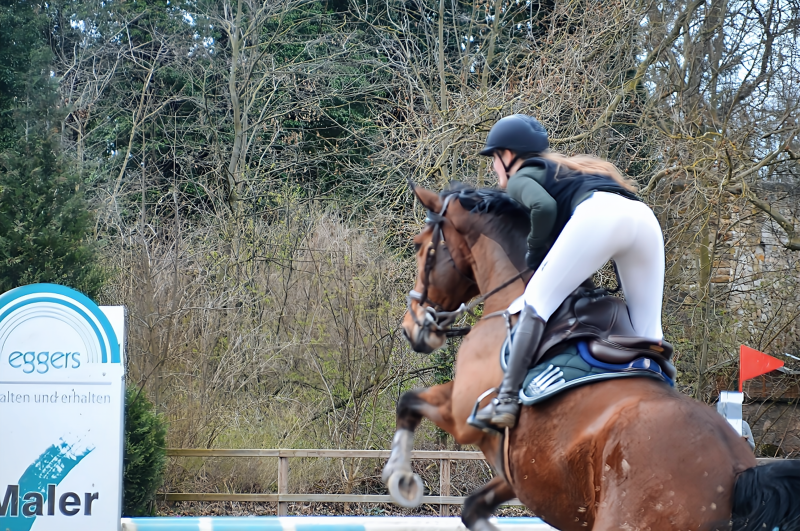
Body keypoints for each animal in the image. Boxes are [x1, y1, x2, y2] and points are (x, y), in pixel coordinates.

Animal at [382, 185, 800, 531]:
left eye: (421, 246)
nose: (410, 327)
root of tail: (736, 472)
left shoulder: (462, 414)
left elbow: (409, 401)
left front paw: (401, 480)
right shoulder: (525, 475)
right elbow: (472, 508)